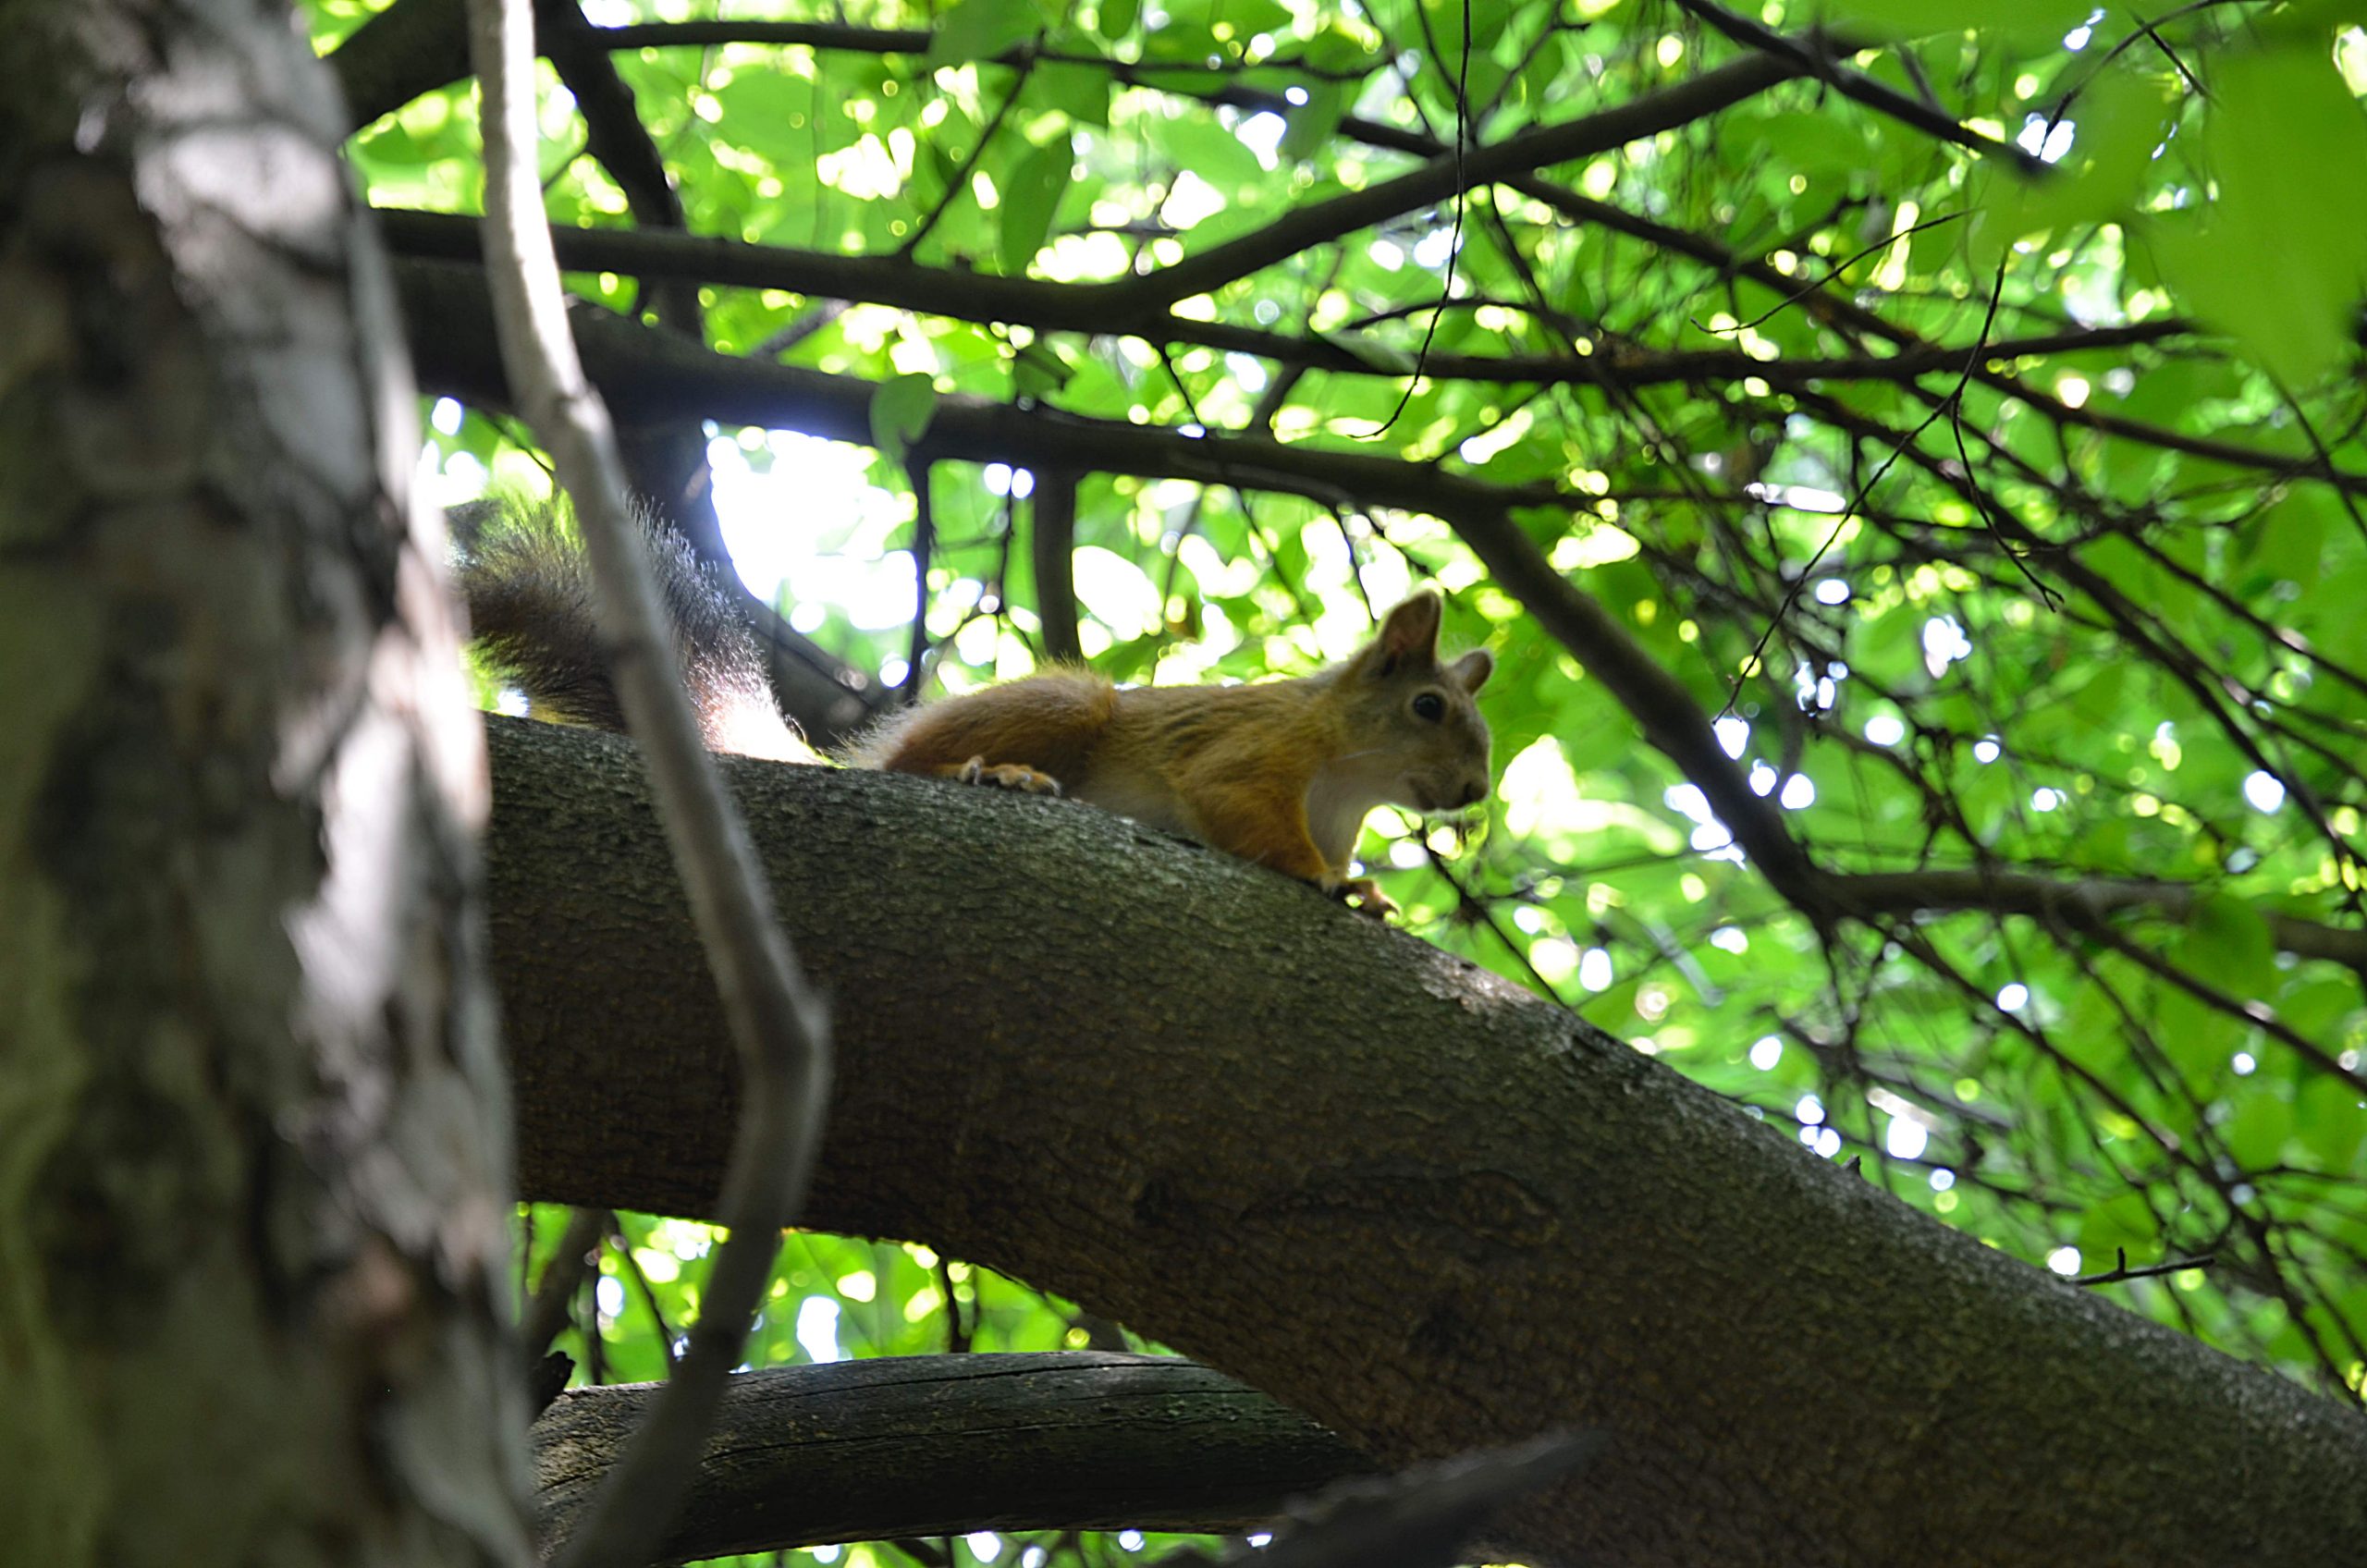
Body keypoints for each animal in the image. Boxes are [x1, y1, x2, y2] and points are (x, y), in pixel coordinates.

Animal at [459, 504, 1486, 924]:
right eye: (1428, 705)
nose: (1475, 793)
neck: (1350, 781)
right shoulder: (1258, 749)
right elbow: (1239, 806)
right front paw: (1327, 881)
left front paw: (1368, 888)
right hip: (1067, 701)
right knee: (909, 771)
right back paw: (992, 772)